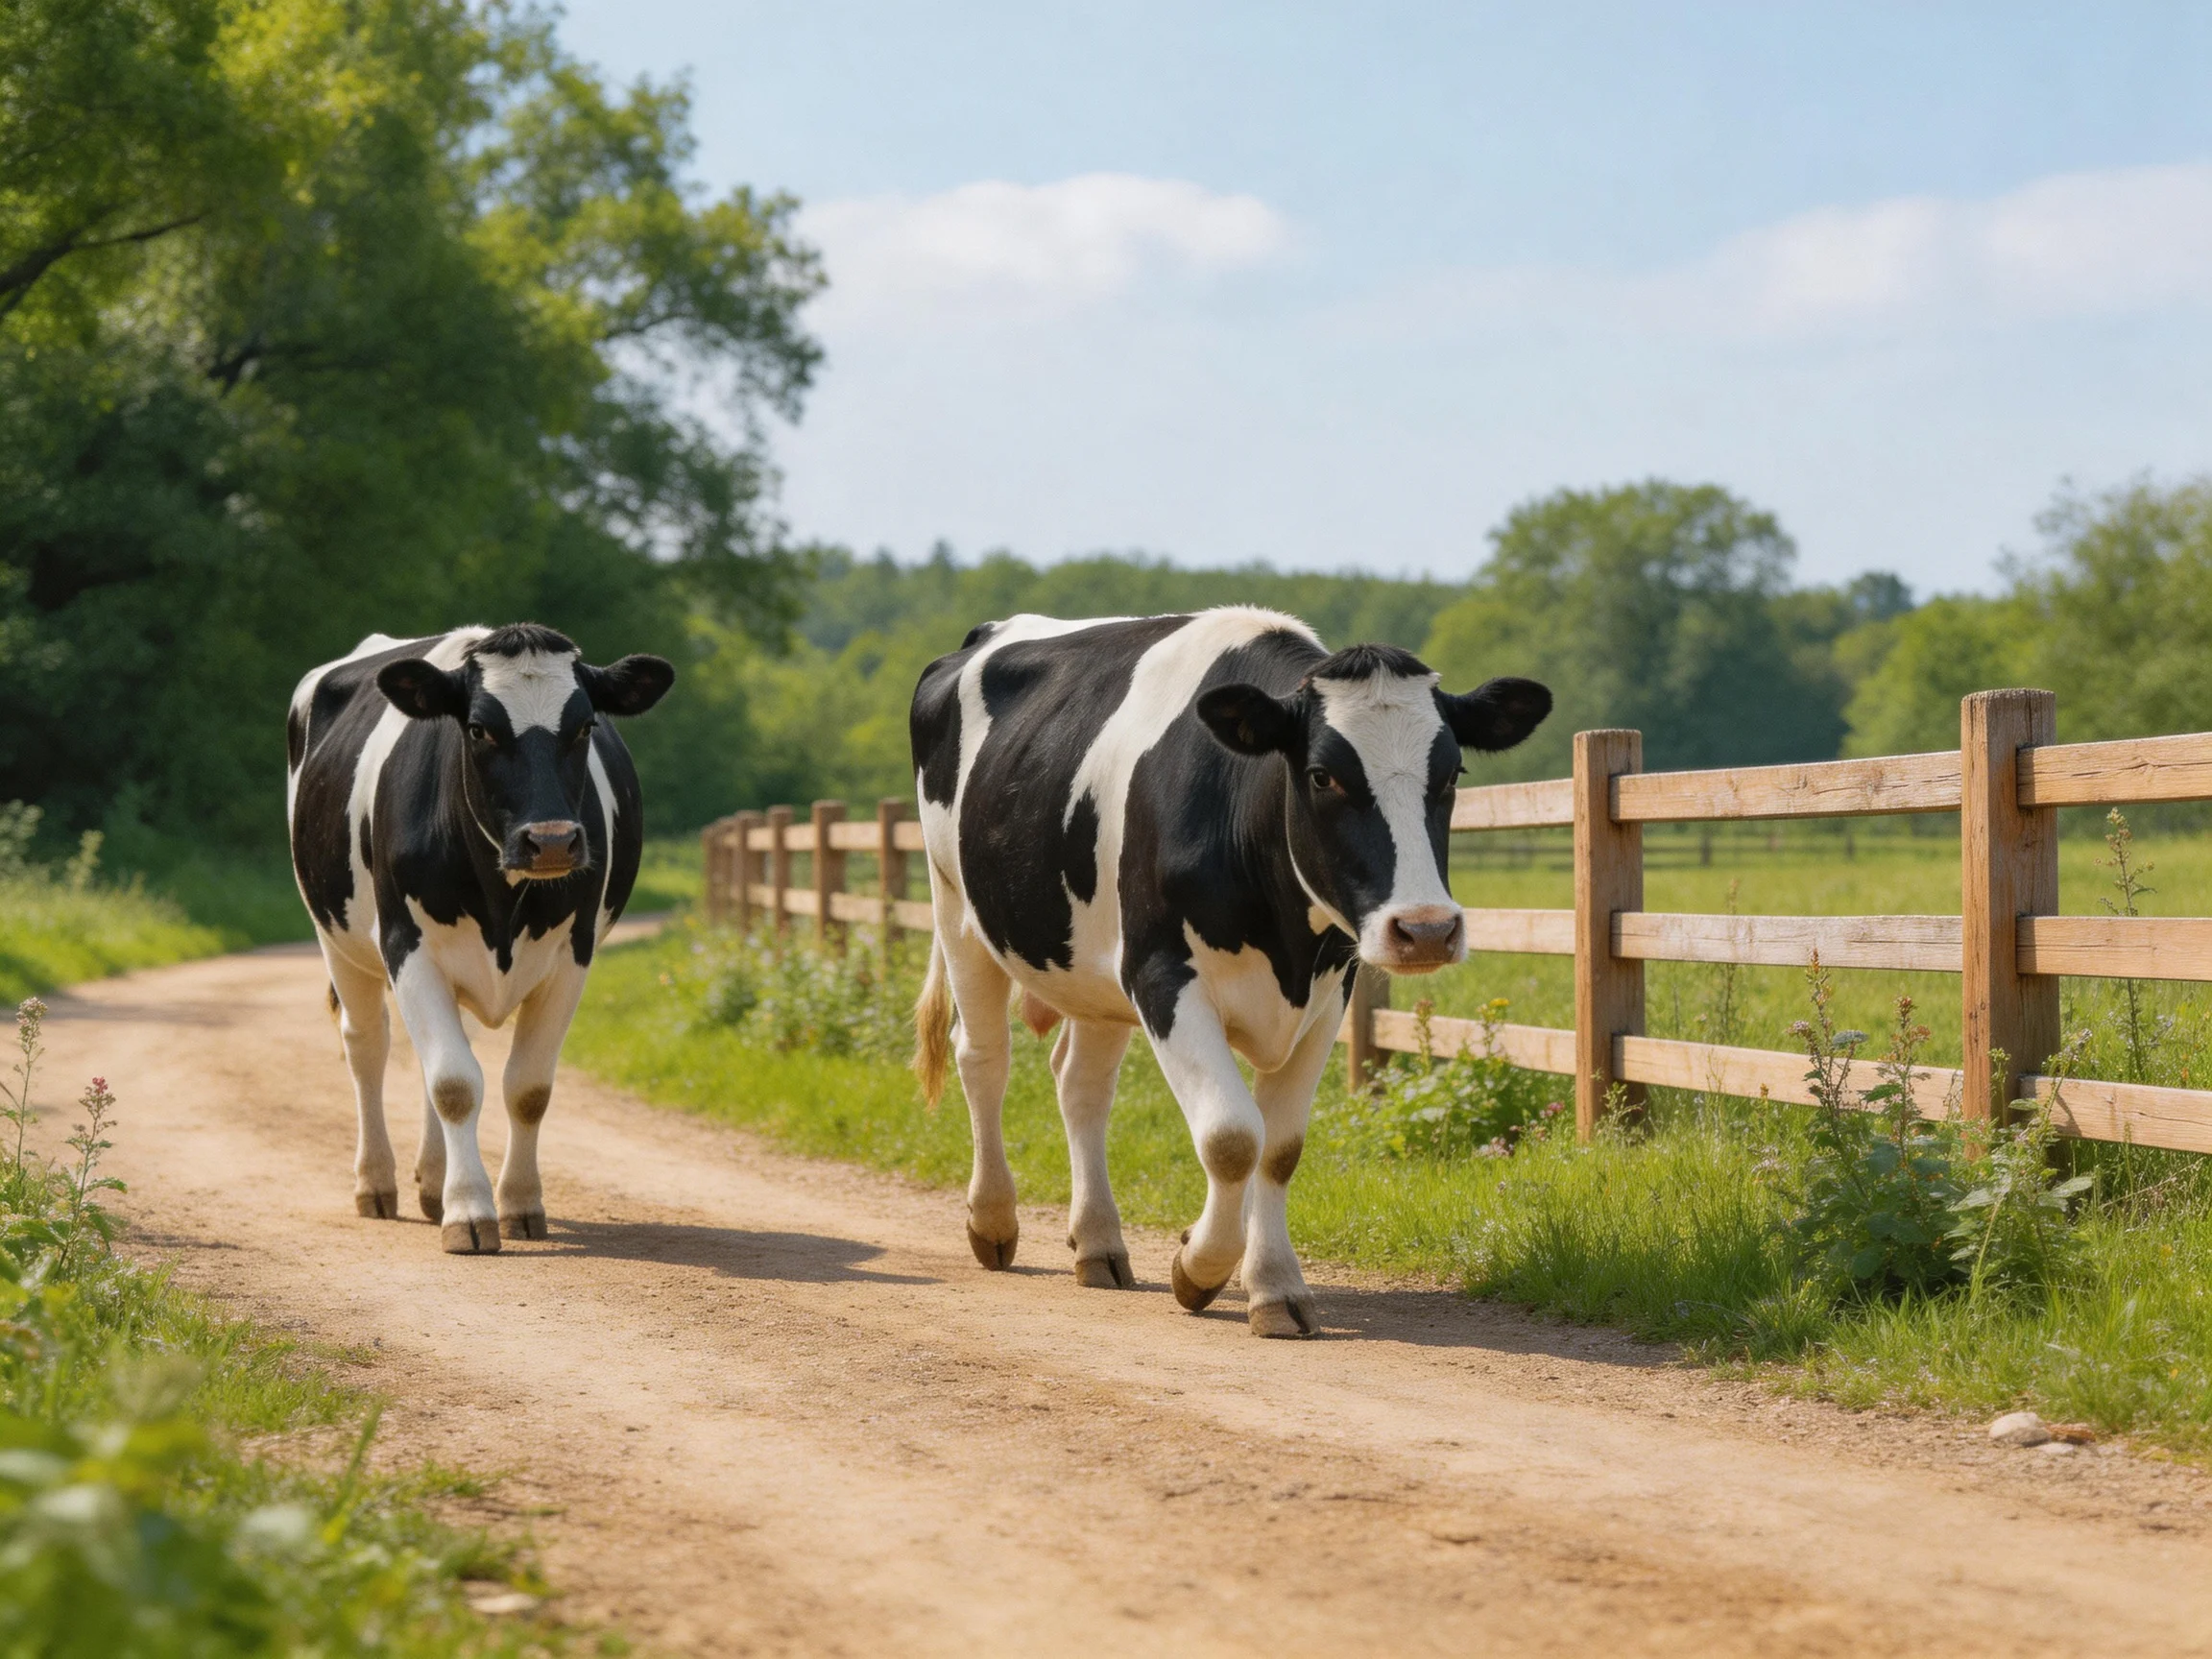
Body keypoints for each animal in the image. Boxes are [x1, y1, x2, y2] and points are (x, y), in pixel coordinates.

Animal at [286, 623, 674, 1252]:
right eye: (478, 728)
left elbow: (528, 1087)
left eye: (585, 726)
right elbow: (454, 1083)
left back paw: (430, 1182)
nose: (552, 840)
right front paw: (468, 1211)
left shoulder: (574, 954)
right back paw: (377, 1184)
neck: (501, 901)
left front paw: (518, 1202)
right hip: (335, 937)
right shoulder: (407, 945)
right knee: (367, 1046)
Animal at [909, 607, 1550, 1337]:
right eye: (1323, 776)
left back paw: (1098, 1241)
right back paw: (992, 1221)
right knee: (983, 1058)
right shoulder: (1162, 975)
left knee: (1080, 1086)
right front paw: (1199, 1268)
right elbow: (1232, 1137)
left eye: (1452, 772)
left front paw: (1274, 1286)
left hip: (1092, 969)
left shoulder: (1331, 992)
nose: (1425, 929)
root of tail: (989, 631)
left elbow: (1280, 1147)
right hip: (957, 908)